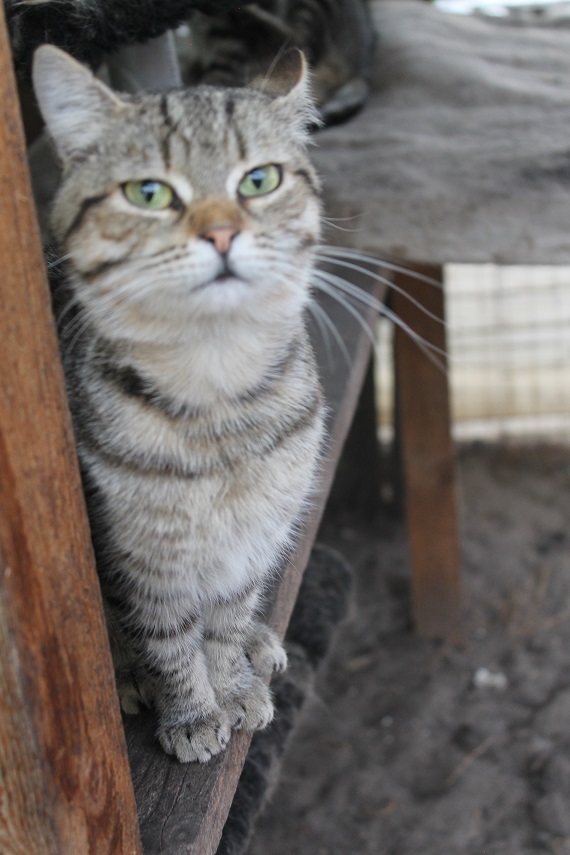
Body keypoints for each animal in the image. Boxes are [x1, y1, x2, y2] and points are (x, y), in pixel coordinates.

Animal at [34, 43, 324, 764]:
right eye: (149, 193)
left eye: (259, 181)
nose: (221, 233)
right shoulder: (140, 561)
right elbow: (168, 643)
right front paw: (190, 710)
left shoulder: (252, 538)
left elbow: (224, 623)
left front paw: (233, 682)